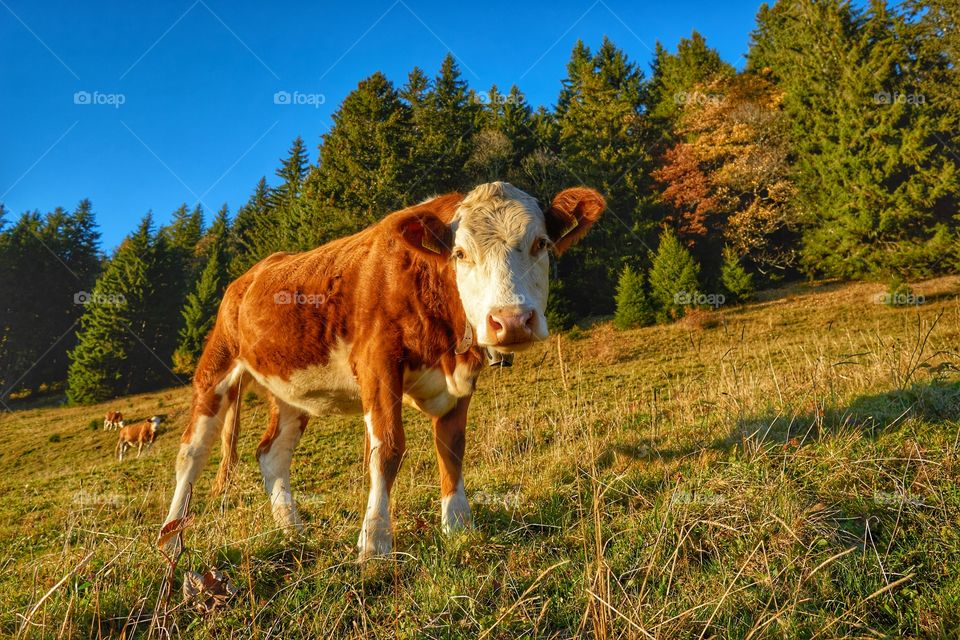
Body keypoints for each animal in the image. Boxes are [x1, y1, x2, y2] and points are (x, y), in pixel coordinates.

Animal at [160, 182, 604, 561]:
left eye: (540, 243)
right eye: (460, 254)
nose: (511, 320)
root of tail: (251, 273)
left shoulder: (461, 380)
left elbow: (452, 447)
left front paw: (458, 527)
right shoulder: (378, 362)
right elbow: (387, 449)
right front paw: (374, 542)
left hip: (289, 388)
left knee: (273, 454)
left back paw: (293, 532)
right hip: (217, 366)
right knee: (192, 452)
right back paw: (171, 539)